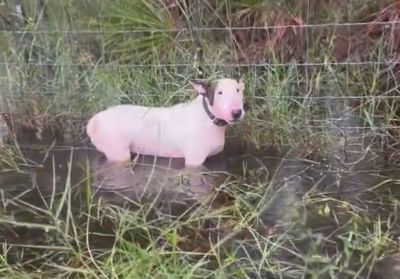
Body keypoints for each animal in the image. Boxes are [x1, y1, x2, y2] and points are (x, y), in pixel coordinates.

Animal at [86, 77, 245, 166]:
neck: (208, 117)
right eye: (219, 93)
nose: (236, 112)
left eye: (238, 90)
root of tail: (94, 121)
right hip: (117, 152)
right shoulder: (194, 160)